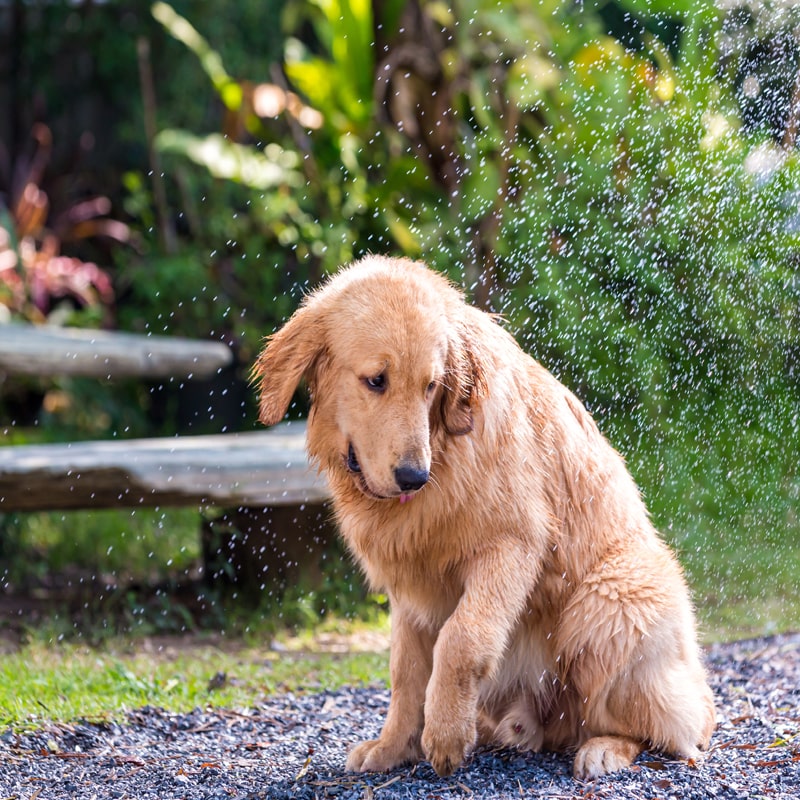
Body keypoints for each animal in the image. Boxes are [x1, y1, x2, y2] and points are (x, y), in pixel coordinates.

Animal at [253, 253, 716, 780]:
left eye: (431, 386)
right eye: (376, 380)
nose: (413, 476)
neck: (444, 454)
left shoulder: (511, 545)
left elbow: (461, 638)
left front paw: (445, 734)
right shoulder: (410, 586)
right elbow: (405, 670)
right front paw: (393, 746)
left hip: (610, 599)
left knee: (670, 726)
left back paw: (605, 748)